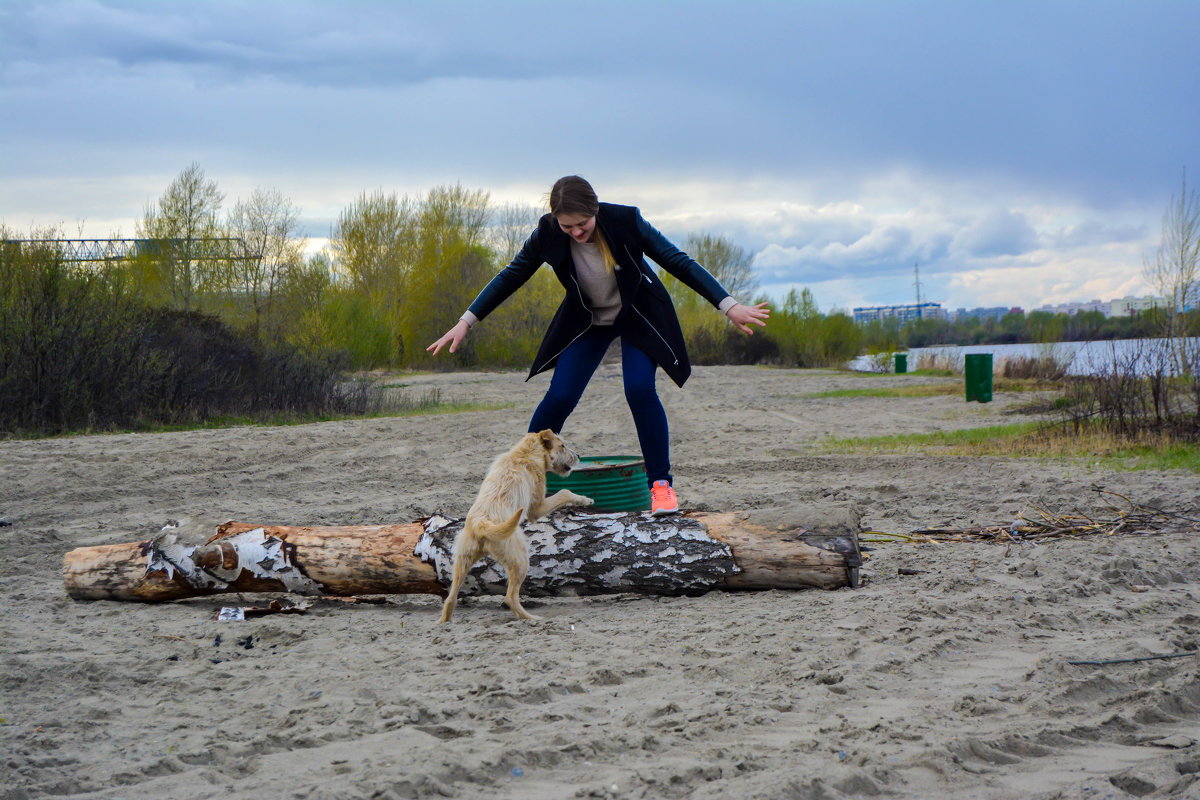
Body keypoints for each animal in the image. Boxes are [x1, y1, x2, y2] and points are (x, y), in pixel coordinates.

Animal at [439, 431, 592, 623]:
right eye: (562, 446)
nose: (578, 455)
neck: (524, 453)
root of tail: (481, 524)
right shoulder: (536, 508)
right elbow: (564, 492)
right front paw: (585, 500)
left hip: (461, 562)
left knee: (451, 599)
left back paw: (443, 623)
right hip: (520, 559)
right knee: (511, 597)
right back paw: (532, 618)